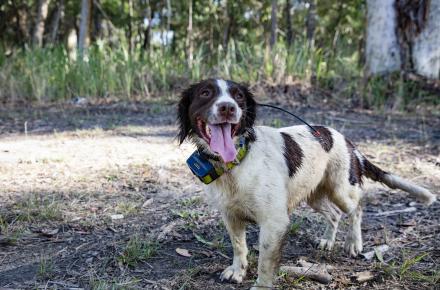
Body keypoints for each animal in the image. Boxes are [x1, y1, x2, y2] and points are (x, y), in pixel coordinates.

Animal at [176, 78, 436, 288]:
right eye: (205, 93)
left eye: (238, 96)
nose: (228, 107)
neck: (236, 163)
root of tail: (348, 141)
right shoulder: (231, 216)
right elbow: (239, 246)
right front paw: (237, 271)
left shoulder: (275, 223)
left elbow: (265, 263)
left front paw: (261, 286)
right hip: (314, 195)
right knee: (334, 215)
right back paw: (327, 241)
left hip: (341, 189)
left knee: (357, 209)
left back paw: (354, 243)